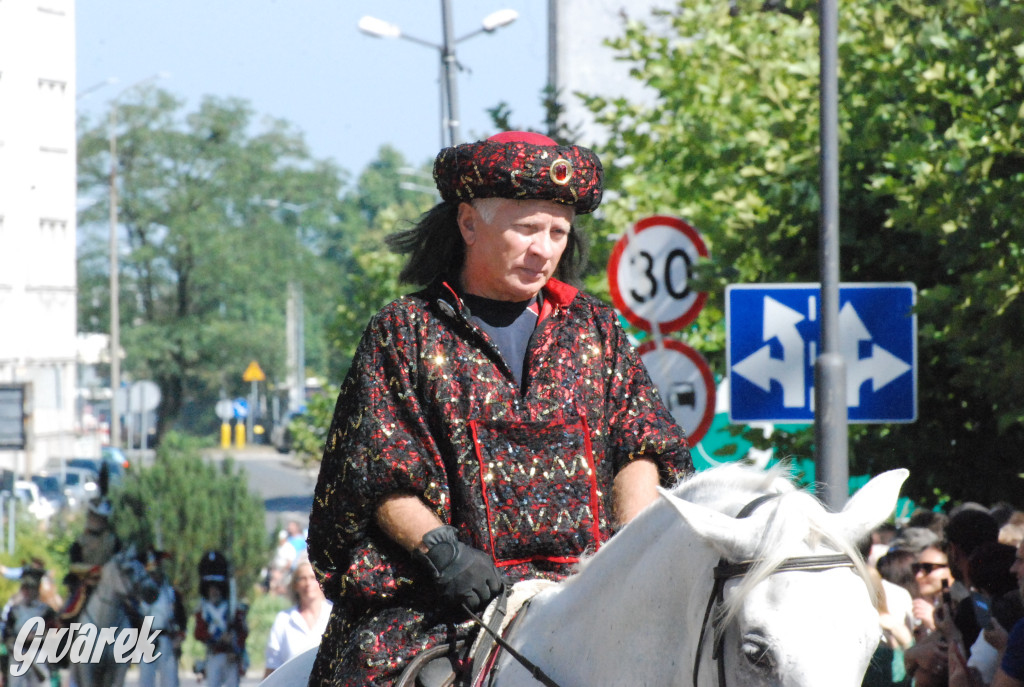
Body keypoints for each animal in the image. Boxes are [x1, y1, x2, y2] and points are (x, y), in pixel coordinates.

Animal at [71, 548, 159, 687]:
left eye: (142, 567)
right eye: (129, 570)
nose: (152, 592)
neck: (106, 626)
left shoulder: (118, 668)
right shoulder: (86, 667)